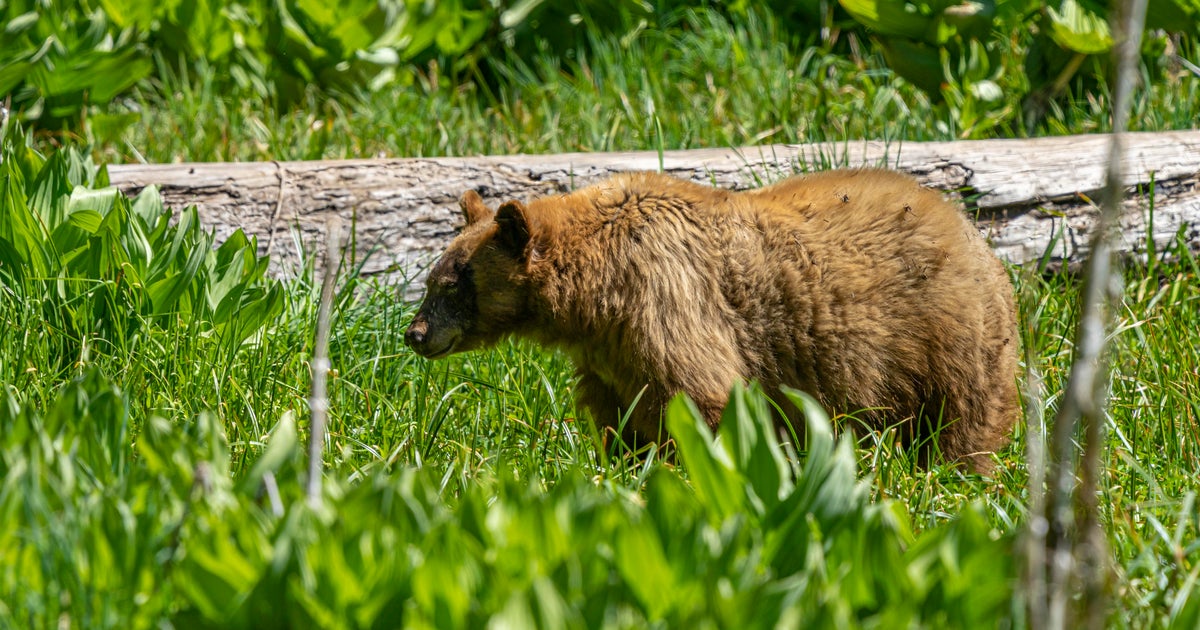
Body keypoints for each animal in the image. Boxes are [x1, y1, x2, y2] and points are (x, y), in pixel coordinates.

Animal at [405, 169, 1019, 472]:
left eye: (454, 283)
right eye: (432, 279)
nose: (414, 334)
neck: (594, 291)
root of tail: (972, 231)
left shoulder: (663, 296)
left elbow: (698, 397)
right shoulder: (608, 354)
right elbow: (618, 418)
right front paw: (627, 467)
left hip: (945, 333)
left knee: (963, 418)